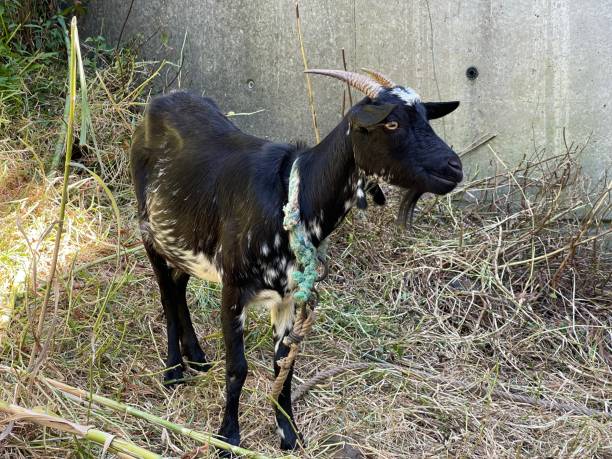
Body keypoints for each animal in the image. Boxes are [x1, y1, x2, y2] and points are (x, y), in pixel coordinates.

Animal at [130, 70, 464, 452]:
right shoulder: (233, 288)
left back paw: (197, 357)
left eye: (425, 118)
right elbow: (238, 367)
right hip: (148, 227)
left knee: (178, 283)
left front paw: (289, 435)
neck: (291, 197)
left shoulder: (288, 297)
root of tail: (161, 101)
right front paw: (228, 438)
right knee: (166, 293)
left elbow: (284, 364)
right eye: (391, 123)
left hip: (186, 238)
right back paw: (173, 371)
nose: (455, 167)